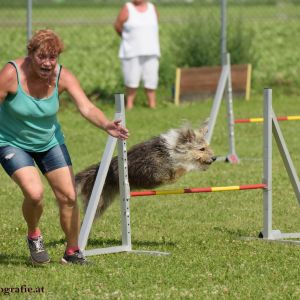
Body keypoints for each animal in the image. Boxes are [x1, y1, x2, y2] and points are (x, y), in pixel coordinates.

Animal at [75, 123, 216, 218]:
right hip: (99, 203)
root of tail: (91, 172)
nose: (214, 158)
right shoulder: (160, 172)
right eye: (202, 149)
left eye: (207, 147)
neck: (170, 150)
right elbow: (179, 169)